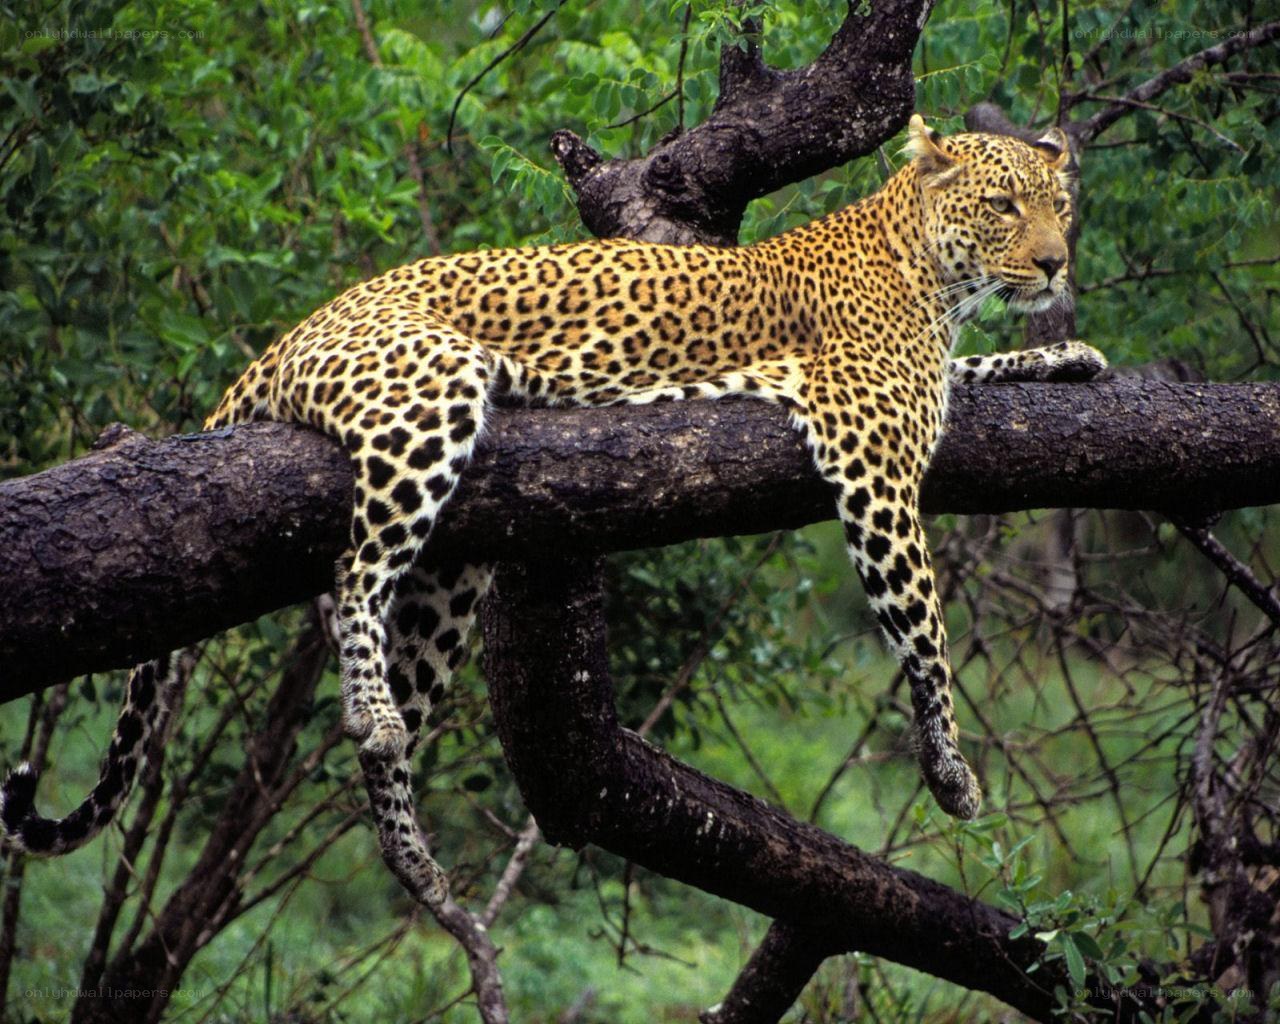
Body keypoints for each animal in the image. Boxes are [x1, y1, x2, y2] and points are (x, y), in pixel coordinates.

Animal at [2, 116, 1106, 905]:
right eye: (1004, 205)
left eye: (1060, 206)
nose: (1055, 263)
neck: (928, 267)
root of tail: (293, 331)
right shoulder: (871, 454)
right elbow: (926, 633)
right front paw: (950, 770)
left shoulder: (920, 390)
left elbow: (979, 372)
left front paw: (1067, 355)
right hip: (428, 396)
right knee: (354, 573)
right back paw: (369, 712)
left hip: (451, 570)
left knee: (395, 685)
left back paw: (408, 849)